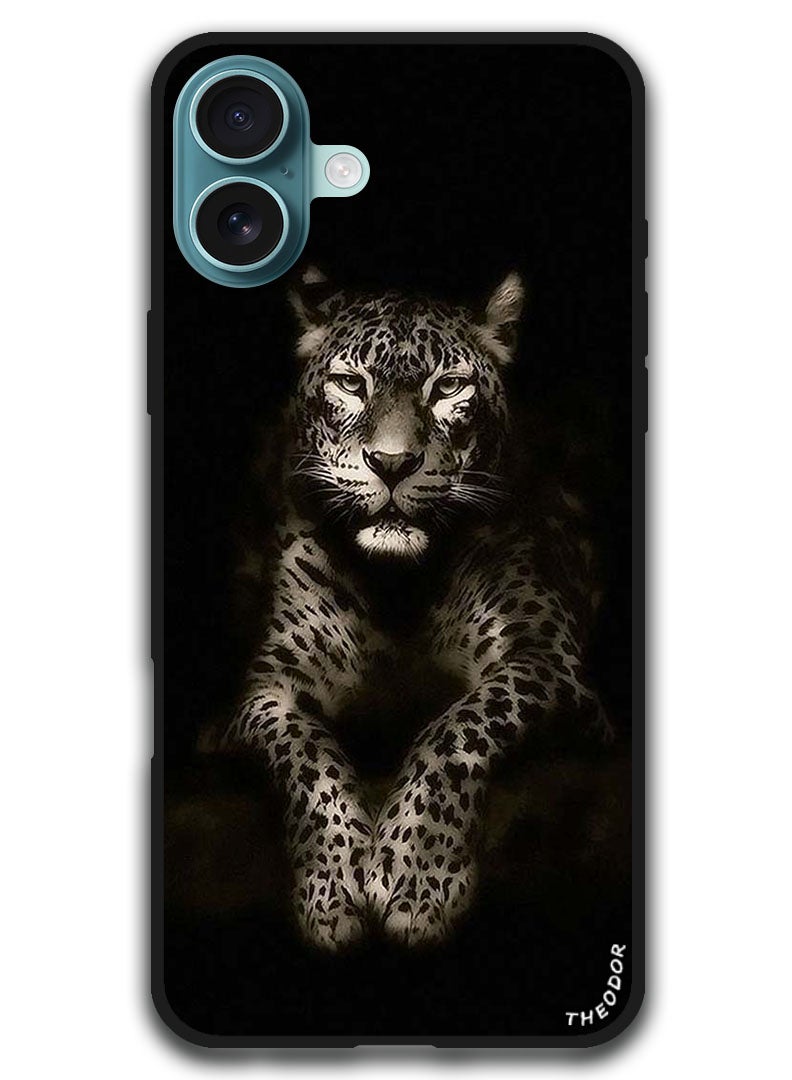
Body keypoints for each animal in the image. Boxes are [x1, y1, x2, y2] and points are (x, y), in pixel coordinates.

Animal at [221, 266, 611, 951]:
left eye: (448, 387)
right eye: (352, 384)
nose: (393, 463)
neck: (398, 588)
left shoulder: (547, 658)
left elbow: (458, 726)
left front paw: (415, 875)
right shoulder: (267, 688)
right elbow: (306, 754)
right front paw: (332, 887)